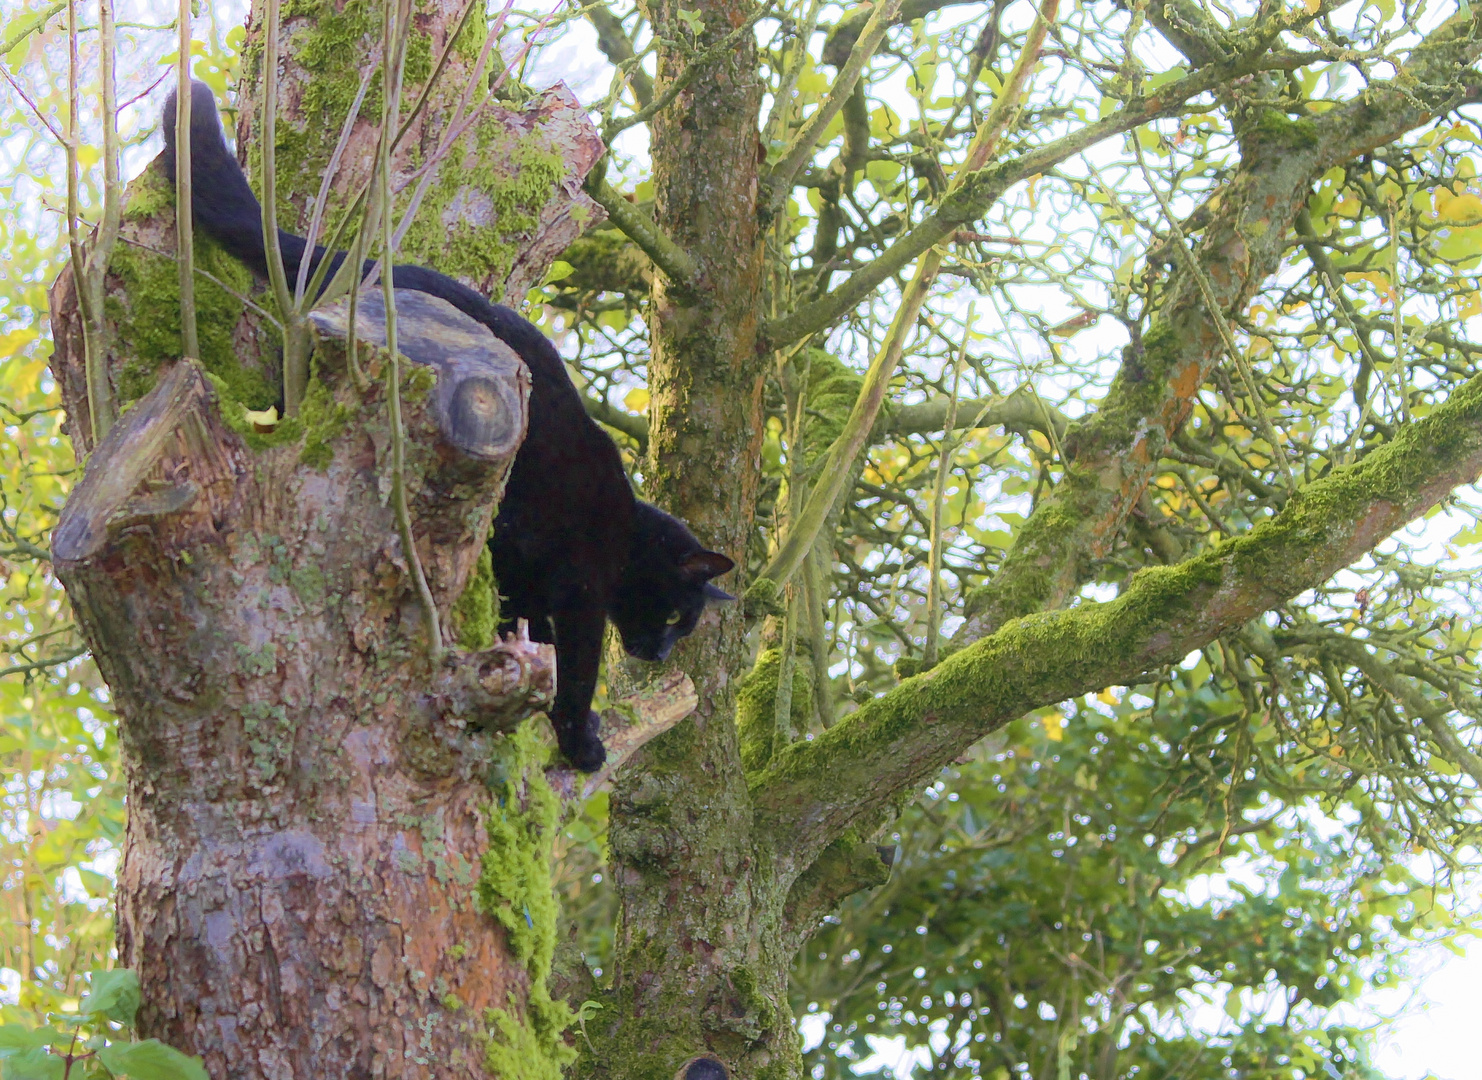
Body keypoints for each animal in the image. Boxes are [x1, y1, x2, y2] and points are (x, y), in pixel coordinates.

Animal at [159, 82, 732, 764]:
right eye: (675, 618)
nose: (663, 653)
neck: (629, 531)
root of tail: (362, 263)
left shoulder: (525, 571)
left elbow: (528, 634)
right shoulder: (580, 584)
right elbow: (577, 664)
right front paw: (578, 736)